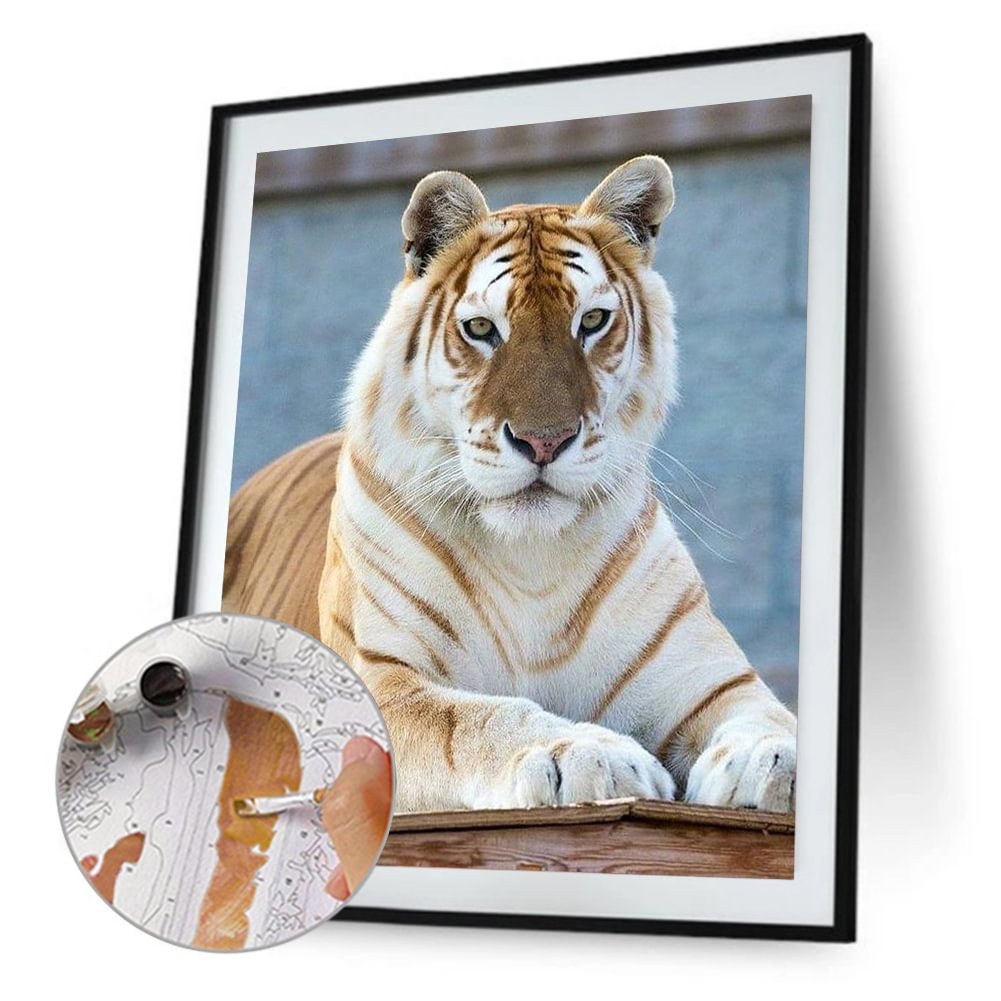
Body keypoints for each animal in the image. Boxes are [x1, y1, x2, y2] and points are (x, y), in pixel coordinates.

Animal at [317, 156, 797, 813]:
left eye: (591, 321)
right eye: (481, 329)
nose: (544, 442)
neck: (530, 559)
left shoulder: (710, 680)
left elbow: (766, 715)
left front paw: (772, 759)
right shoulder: (381, 683)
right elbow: (475, 719)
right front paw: (587, 753)